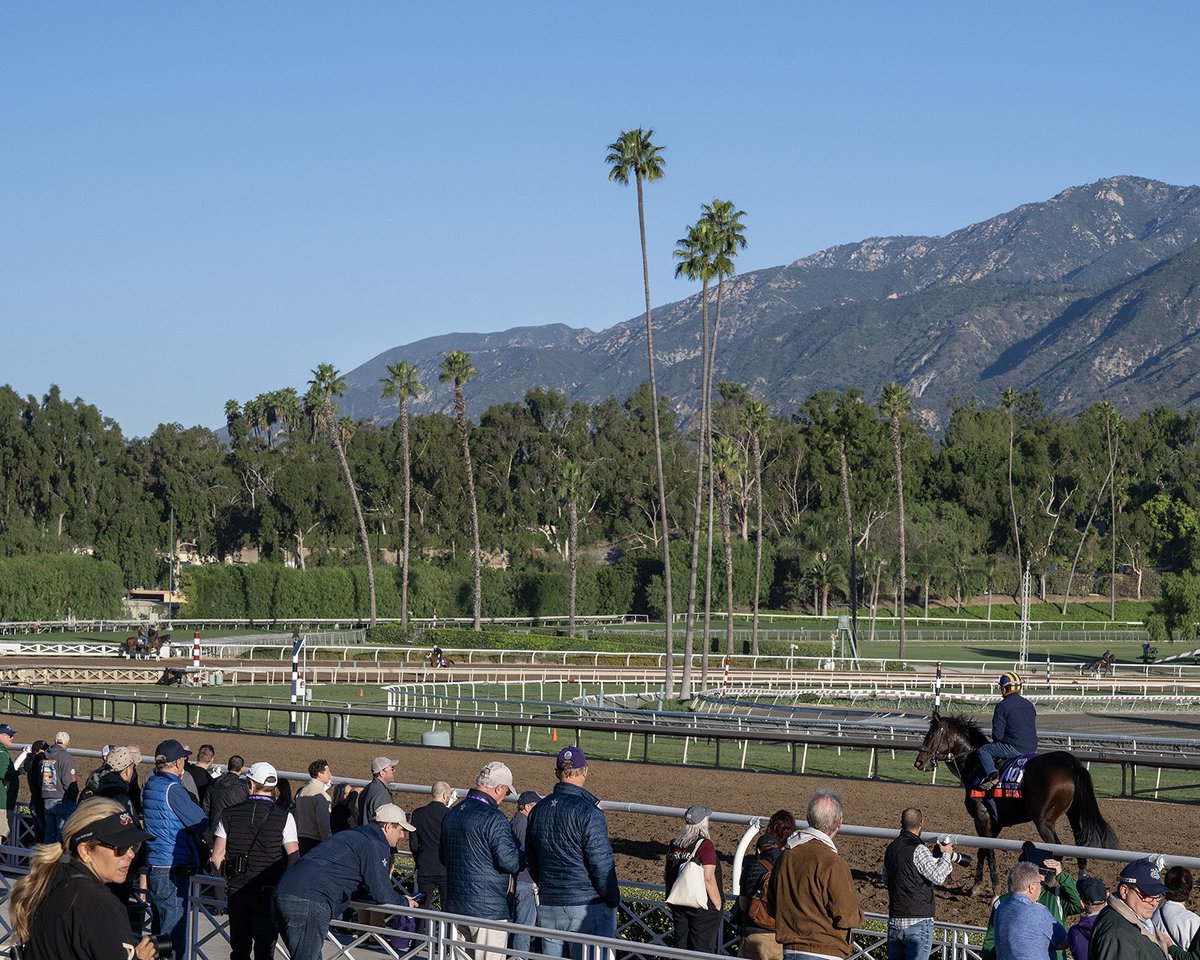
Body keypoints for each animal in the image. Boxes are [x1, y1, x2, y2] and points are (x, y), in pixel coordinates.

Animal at [916, 710, 1113, 897]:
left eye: (932, 734)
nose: (919, 762)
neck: (975, 765)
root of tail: (1072, 764)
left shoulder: (982, 818)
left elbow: (988, 851)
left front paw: (995, 889)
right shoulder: (994, 822)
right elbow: (982, 850)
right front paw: (976, 886)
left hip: (1044, 821)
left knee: (1058, 850)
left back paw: (1048, 881)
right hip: (1074, 816)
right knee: (1080, 850)